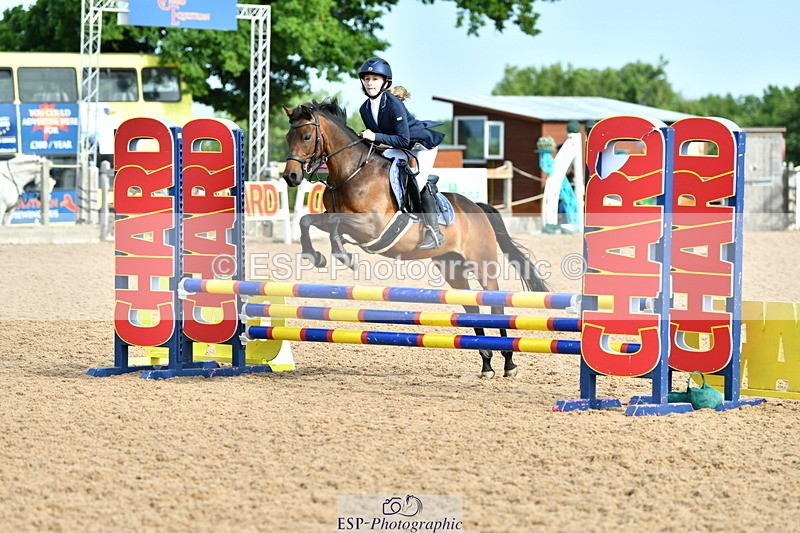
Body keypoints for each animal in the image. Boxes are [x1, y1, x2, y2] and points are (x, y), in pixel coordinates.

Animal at [282, 98, 549, 379]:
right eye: (288, 137)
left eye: (307, 136)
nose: (290, 177)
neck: (351, 172)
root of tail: (476, 207)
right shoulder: (336, 218)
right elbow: (307, 221)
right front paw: (316, 257)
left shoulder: (372, 226)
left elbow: (335, 224)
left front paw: (344, 256)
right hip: (451, 265)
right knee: (472, 308)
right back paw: (487, 364)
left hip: (483, 264)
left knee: (496, 305)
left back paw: (509, 363)